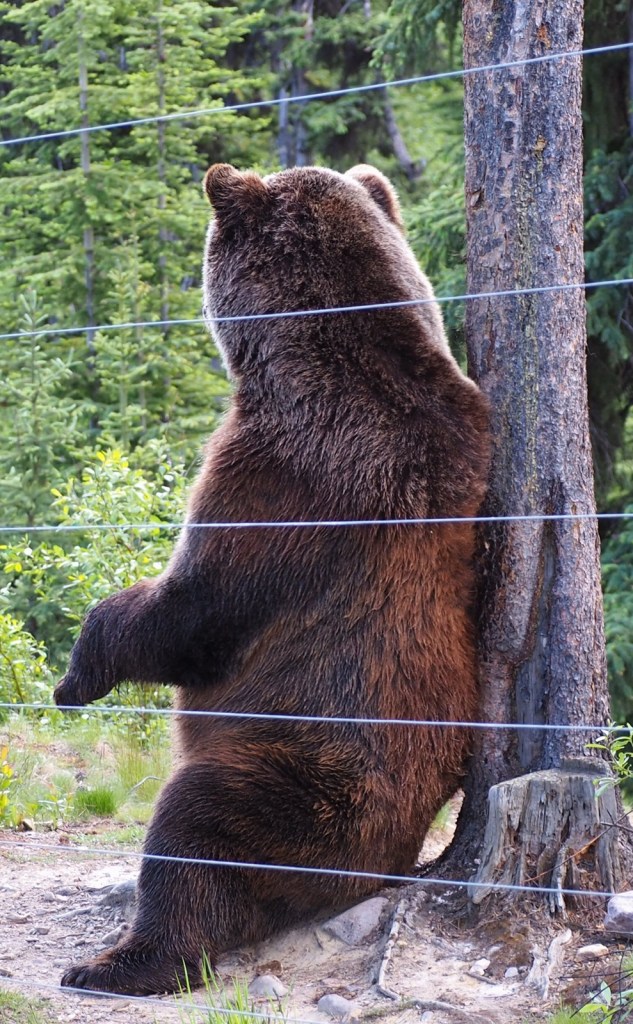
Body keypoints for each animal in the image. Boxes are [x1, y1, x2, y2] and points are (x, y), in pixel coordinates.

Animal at [53, 163, 490, 996]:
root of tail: (387, 864)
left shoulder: (284, 476)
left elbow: (195, 612)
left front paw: (75, 673)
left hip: (308, 785)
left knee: (194, 828)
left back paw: (115, 962)